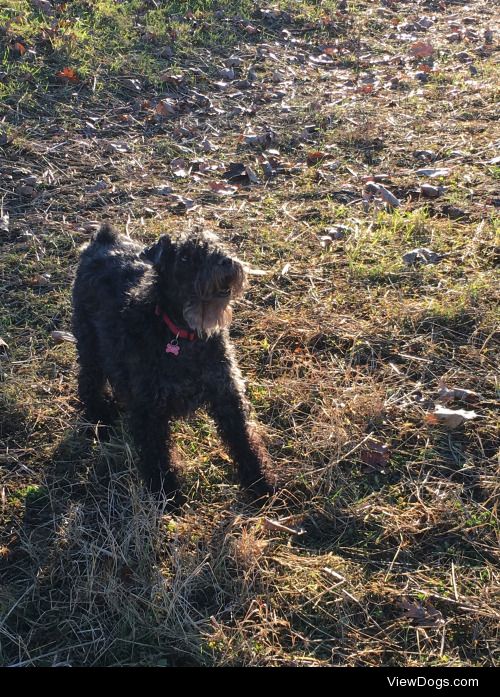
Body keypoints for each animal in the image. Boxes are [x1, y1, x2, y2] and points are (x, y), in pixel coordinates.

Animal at [72, 226, 274, 502]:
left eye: (216, 243)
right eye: (185, 257)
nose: (225, 262)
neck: (182, 333)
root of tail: (103, 239)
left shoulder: (227, 393)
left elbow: (243, 439)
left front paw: (259, 481)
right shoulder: (149, 409)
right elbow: (156, 453)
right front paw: (166, 492)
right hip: (90, 344)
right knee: (88, 380)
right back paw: (99, 417)